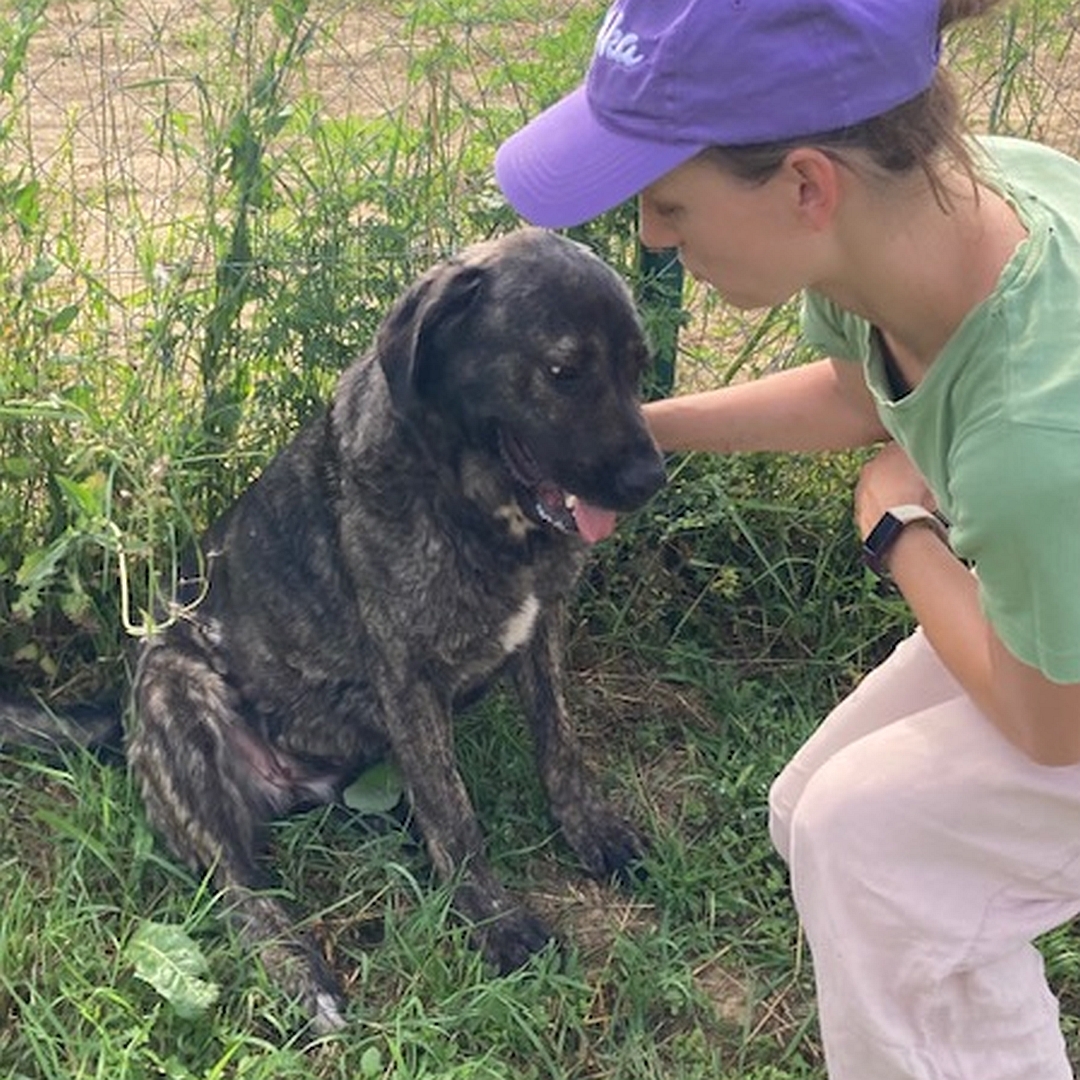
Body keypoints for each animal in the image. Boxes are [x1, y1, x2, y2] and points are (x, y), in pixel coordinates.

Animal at [0, 227, 665, 1028]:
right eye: (563, 371)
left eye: (638, 367)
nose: (651, 480)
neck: (475, 504)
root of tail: (123, 718)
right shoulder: (407, 673)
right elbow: (456, 815)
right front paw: (495, 921)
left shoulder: (543, 631)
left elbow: (559, 747)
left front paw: (590, 830)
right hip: (175, 688)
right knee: (236, 885)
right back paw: (300, 972)